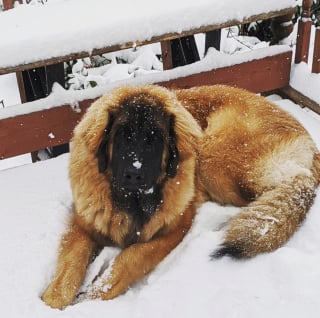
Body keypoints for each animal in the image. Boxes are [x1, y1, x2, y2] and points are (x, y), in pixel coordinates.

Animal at [42, 84, 320, 308]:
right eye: (122, 137)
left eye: (154, 140)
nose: (135, 175)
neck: (132, 203)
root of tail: (309, 141)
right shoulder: (82, 223)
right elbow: (71, 262)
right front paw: (53, 300)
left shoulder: (174, 228)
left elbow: (132, 257)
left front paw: (92, 298)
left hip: (213, 155)